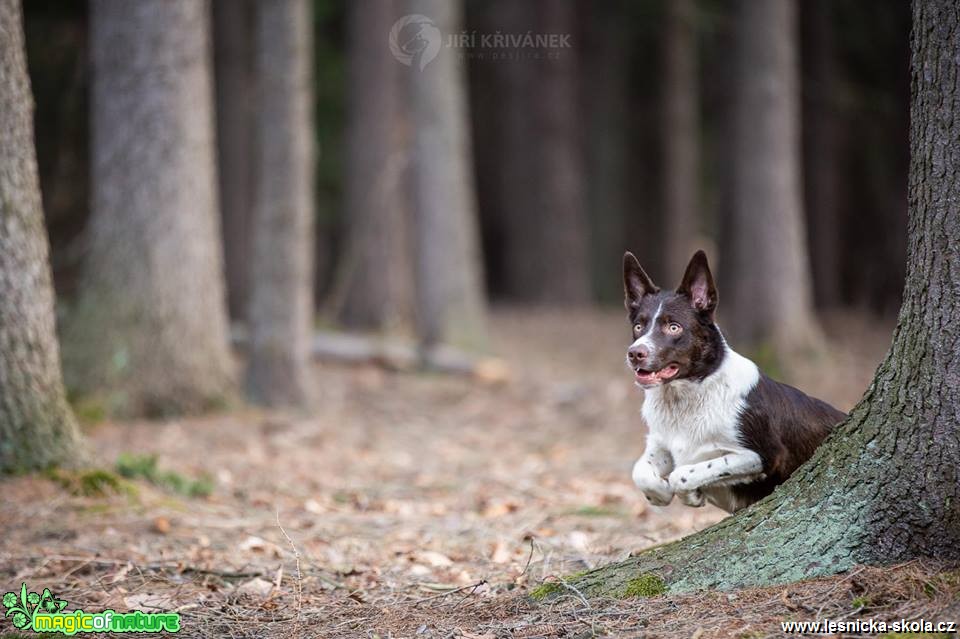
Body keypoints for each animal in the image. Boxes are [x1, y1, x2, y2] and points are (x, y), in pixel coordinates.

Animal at [624, 250, 840, 516]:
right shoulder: (660, 441)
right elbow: (640, 473)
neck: (688, 396)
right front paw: (660, 494)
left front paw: (692, 495)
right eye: (638, 326)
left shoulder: (765, 456)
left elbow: (684, 473)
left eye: (673, 327)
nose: (635, 353)